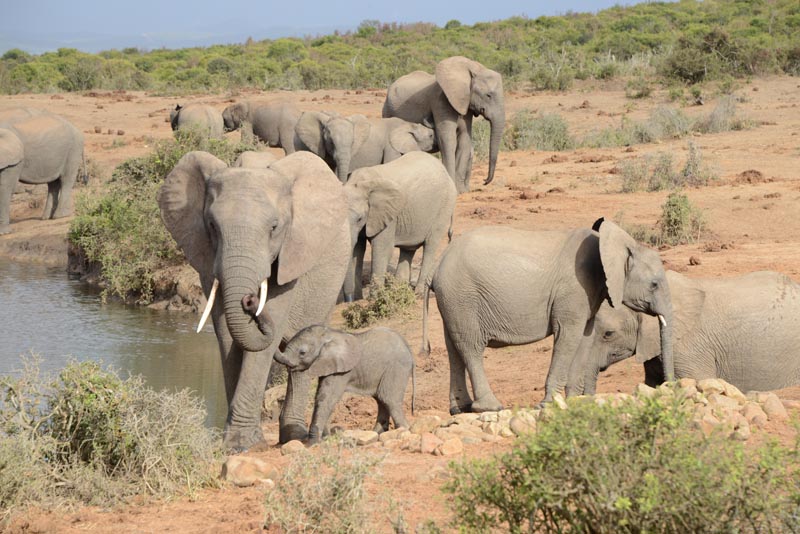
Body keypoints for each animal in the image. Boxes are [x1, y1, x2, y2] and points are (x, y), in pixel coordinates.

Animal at [158, 150, 352, 451]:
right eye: (212, 226)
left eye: (274, 228)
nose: (249, 300)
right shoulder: (207, 256)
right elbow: (227, 333)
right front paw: (232, 442)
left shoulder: (291, 251)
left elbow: (267, 328)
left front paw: (244, 443)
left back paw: (294, 435)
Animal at [275, 325, 415, 444]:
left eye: (302, 353)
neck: (329, 334)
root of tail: (409, 350)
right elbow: (323, 397)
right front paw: (326, 438)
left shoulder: (342, 371)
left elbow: (326, 398)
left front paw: (313, 443)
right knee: (381, 400)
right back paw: (376, 434)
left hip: (396, 368)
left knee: (388, 399)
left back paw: (404, 430)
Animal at [342, 152, 456, 301]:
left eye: (360, 218)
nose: (348, 299)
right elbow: (358, 250)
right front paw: (359, 300)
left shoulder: (388, 216)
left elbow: (382, 248)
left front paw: (373, 300)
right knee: (408, 250)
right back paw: (400, 293)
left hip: (444, 206)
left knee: (430, 246)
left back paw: (418, 294)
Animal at [383, 56, 505, 194]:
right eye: (488, 95)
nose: (485, 181)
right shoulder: (440, 101)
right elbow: (448, 140)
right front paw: (452, 188)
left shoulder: (465, 105)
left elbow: (464, 139)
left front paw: (460, 191)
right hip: (387, 110)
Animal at [421, 218, 674, 415]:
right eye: (653, 285)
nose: (669, 387)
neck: (611, 244)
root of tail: (436, 269)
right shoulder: (573, 291)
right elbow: (568, 336)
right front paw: (548, 405)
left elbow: (584, 338)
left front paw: (575, 401)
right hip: (462, 296)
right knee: (470, 347)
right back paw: (490, 407)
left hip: (453, 302)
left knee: (454, 348)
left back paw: (459, 409)